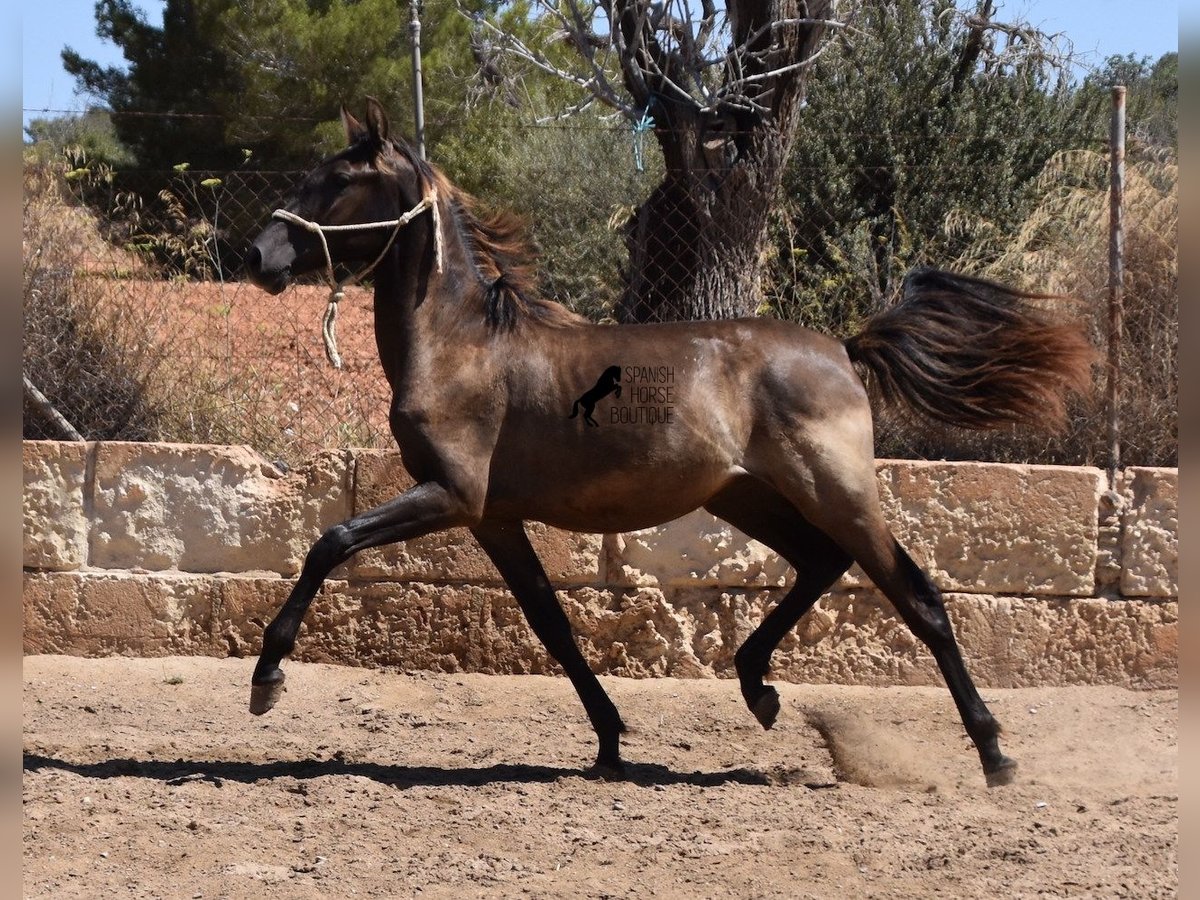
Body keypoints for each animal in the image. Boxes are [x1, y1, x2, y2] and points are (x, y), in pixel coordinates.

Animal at [246, 100, 1099, 787]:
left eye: (335, 179)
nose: (259, 255)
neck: (462, 344)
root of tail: (843, 348)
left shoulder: (452, 496)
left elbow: (330, 542)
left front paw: (266, 678)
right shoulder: (494, 518)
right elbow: (551, 624)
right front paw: (610, 744)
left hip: (837, 491)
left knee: (917, 596)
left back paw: (994, 754)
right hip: (748, 495)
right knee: (820, 563)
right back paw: (758, 687)